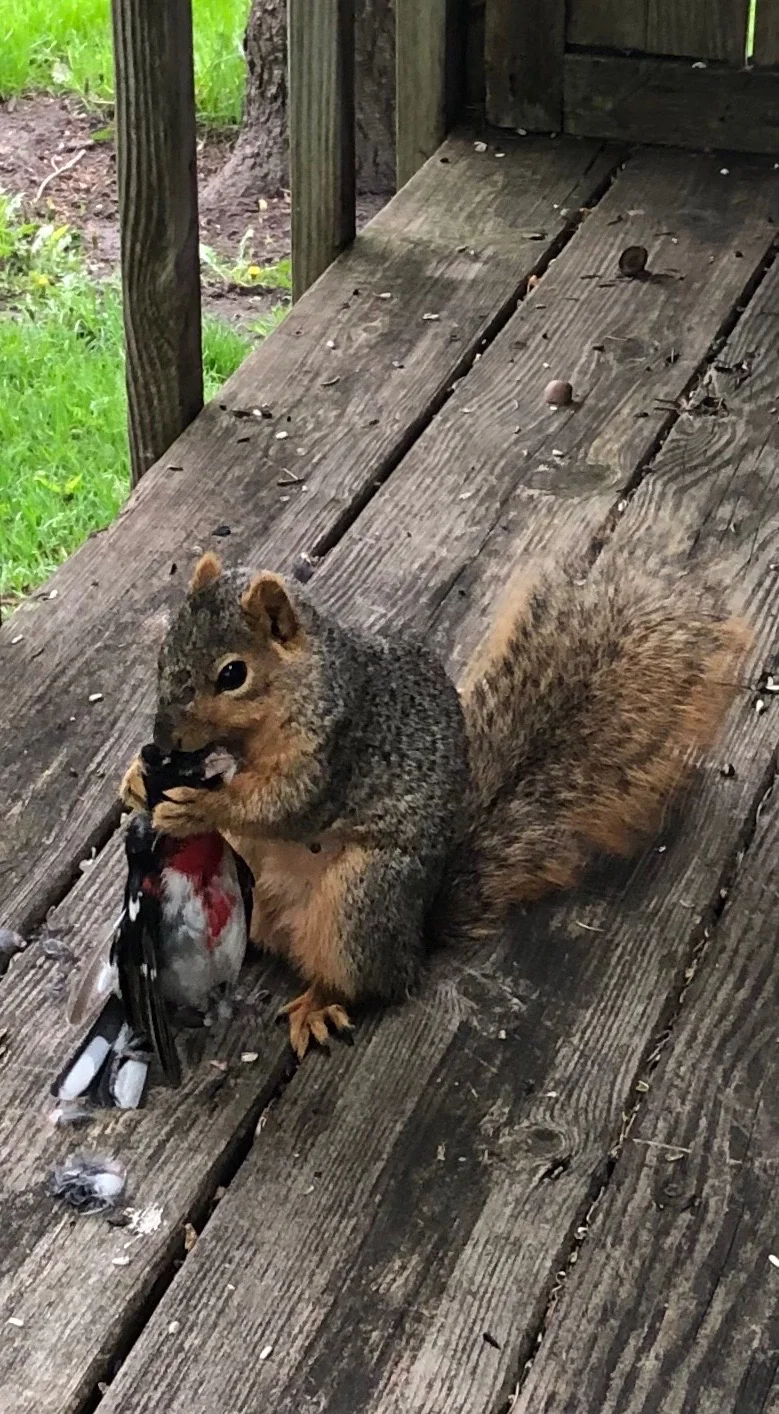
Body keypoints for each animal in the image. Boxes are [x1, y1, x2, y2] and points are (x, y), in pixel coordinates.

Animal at [120, 550, 749, 1059]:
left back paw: (318, 1004)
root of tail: (415, 937)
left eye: (233, 674)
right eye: (163, 653)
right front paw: (135, 779)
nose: (164, 739)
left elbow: (284, 804)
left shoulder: (338, 750)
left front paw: (198, 807)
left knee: (360, 979)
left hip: (361, 897)